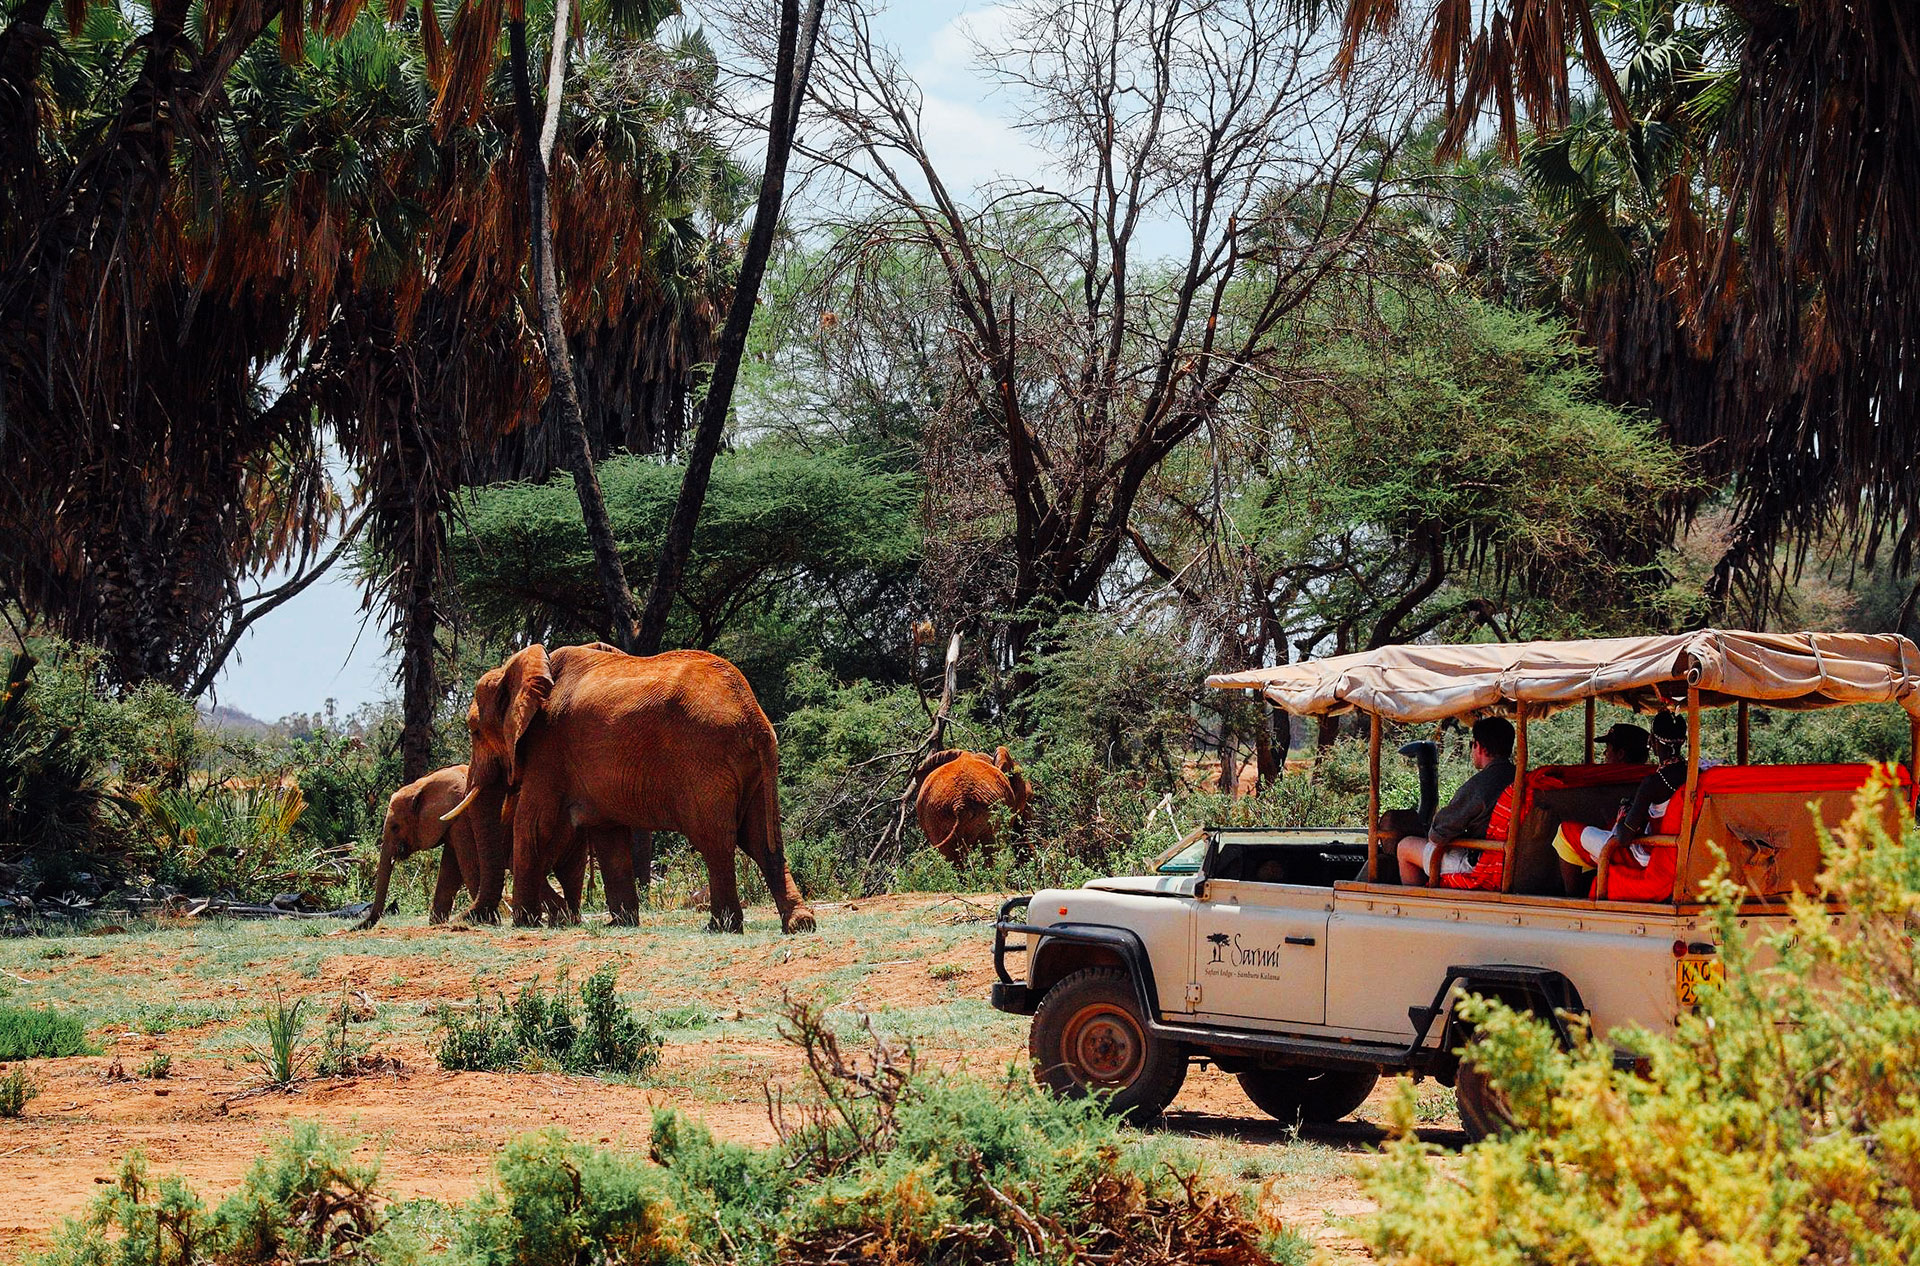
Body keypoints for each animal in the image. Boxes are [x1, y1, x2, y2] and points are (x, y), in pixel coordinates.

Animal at [360, 765, 573, 930]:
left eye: (395, 827)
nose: (356, 927)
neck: (422, 784)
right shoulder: (451, 825)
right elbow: (449, 871)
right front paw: (437, 924)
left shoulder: (460, 819)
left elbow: (469, 866)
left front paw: (488, 922)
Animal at [443, 643, 815, 933]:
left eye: (474, 731)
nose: (464, 921)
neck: (527, 666)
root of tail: (754, 716)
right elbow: (609, 836)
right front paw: (620, 924)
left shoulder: (548, 748)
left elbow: (532, 825)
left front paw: (524, 923)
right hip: (749, 767)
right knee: (761, 839)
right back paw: (800, 923)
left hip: (704, 757)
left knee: (715, 839)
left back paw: (720, 927)